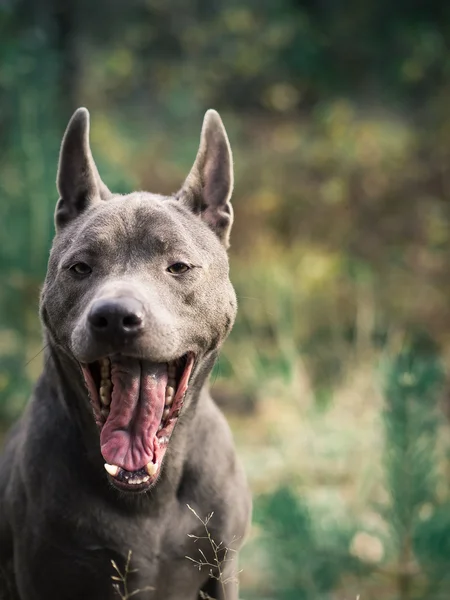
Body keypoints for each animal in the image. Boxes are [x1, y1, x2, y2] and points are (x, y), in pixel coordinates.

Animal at [0, 109, 253, 600]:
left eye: (178, 266)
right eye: (80, 267)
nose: (115, 316)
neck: (147, 498)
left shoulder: (222, 567)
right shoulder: (46, 573)